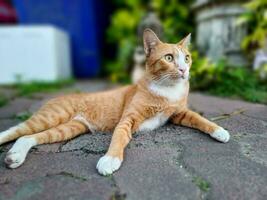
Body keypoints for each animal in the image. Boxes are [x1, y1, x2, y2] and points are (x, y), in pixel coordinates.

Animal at [0, 28, 230, 176]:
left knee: (28, 137)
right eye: (169, 58)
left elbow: (200, 119)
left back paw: (15, 156)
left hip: (68, 129)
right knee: (16, 130)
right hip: (51, 117)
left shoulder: (178, 113)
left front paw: (219, 130)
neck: (167, 90)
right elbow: (119, 136)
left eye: (187, 58)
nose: (184, 70)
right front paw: (110, 159)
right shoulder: (128, 119)